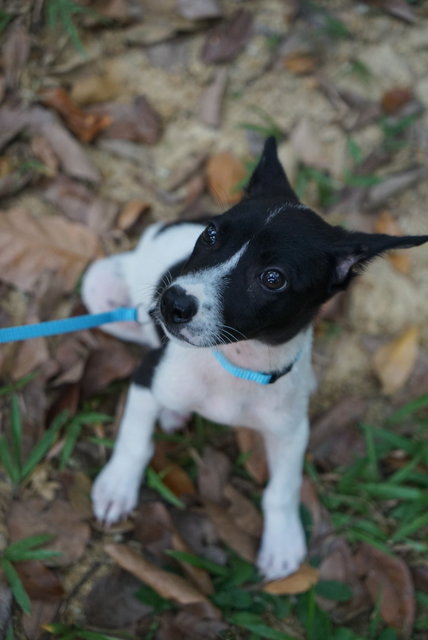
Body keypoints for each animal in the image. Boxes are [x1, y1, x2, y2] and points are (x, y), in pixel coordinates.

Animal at [83, 139, 428, 580]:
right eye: (211, 235)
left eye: (273, 278)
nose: (172, 303)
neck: (234, 361)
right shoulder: (149, 376)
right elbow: (134, 440)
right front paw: (118, 486)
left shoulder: (291, 431)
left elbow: (283, 489)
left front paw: (282, 541)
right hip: (99, 289)